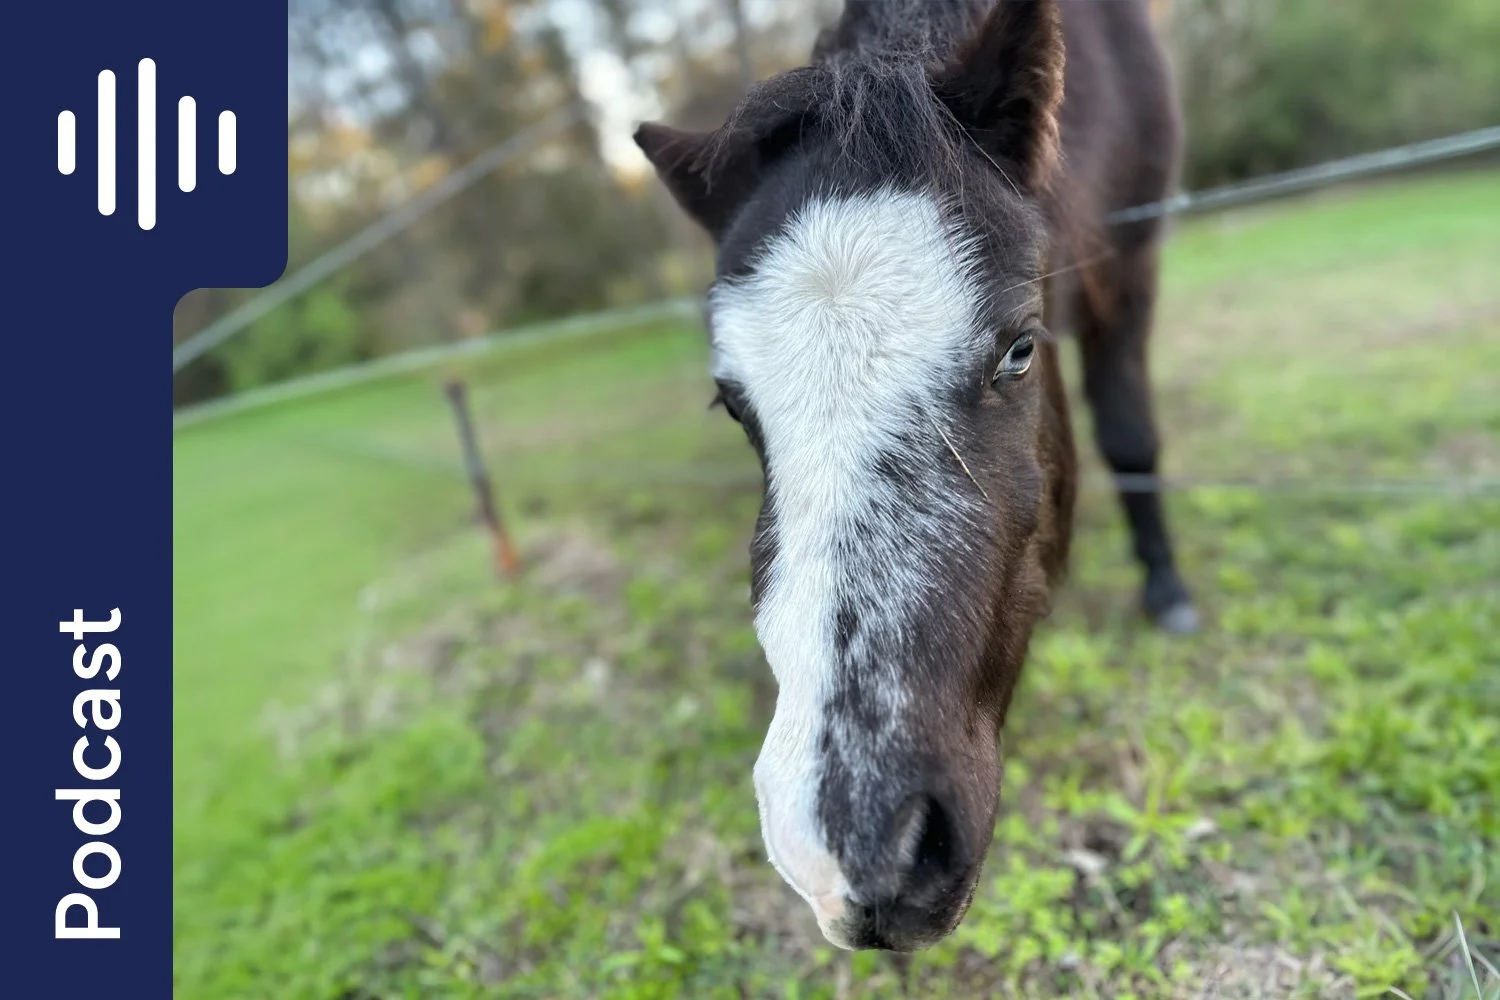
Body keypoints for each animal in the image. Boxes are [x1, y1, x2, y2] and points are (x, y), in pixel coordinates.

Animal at [635, 0, 1194, 952]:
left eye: (1019, 350)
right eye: (732, 405)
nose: (854, 857)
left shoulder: (1132, 261)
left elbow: (1127, 434)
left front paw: (1166, 590)